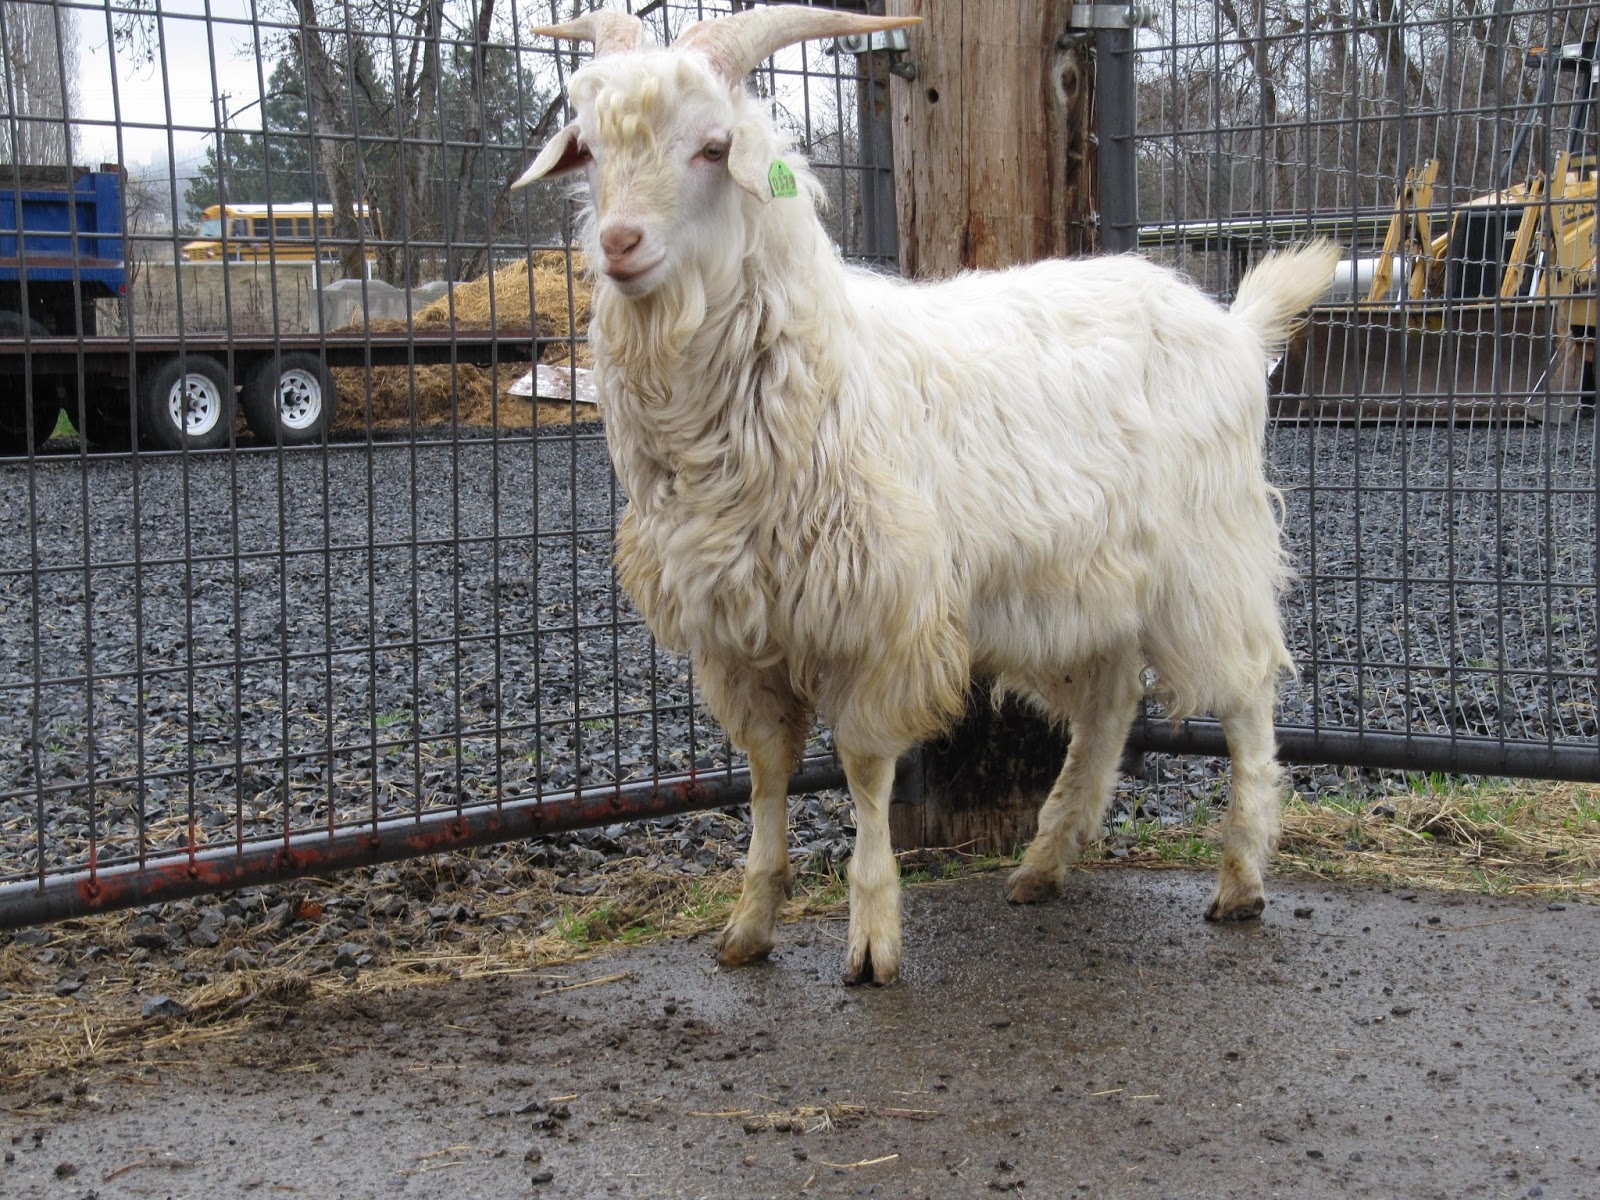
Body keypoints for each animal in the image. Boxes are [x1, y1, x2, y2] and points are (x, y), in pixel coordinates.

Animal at [513, 5, 1339, 985]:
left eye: (713, 147)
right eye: (592, 150)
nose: (620, 244)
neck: (821, 365)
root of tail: (1234, 328)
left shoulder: (881, 610)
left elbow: (866, 766)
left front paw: (873, 935)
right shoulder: (738, 627)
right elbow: (766, 772)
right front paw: (751, 922)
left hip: (1208, 558)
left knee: (1248, 699)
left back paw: (1241, 875)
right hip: (1086, 586)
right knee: (1107, 708)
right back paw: (1045, 861)